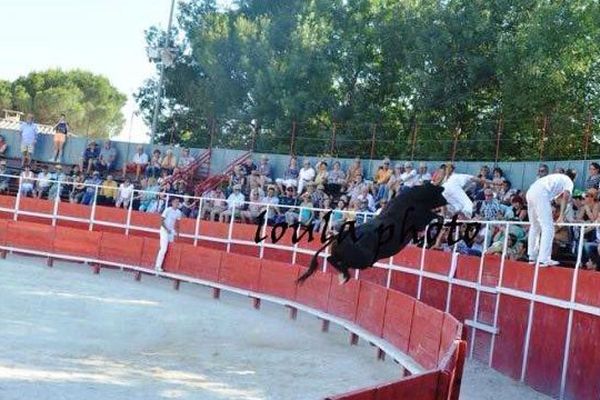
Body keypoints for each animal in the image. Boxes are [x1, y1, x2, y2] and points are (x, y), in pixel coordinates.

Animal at [298, 184, 448, 284]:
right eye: (439, 194)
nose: (446, 201)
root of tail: (338, 235)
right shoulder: (421, 219)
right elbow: (437, 217)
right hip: (364, 260)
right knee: (335, 261)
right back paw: (345, 276)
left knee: (331, 259)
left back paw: (344, 276)